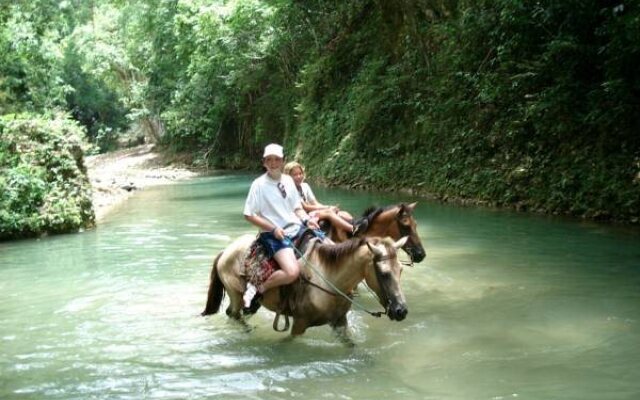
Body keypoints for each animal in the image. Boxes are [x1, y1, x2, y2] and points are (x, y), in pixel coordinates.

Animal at [202, 234, 408, 338]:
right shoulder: (299, 325)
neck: (330, 279)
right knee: (233, 314)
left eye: (401, 270)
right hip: (235, 295)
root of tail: (225, 252)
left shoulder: (339, 322)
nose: (401, 311)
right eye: (384, 274)